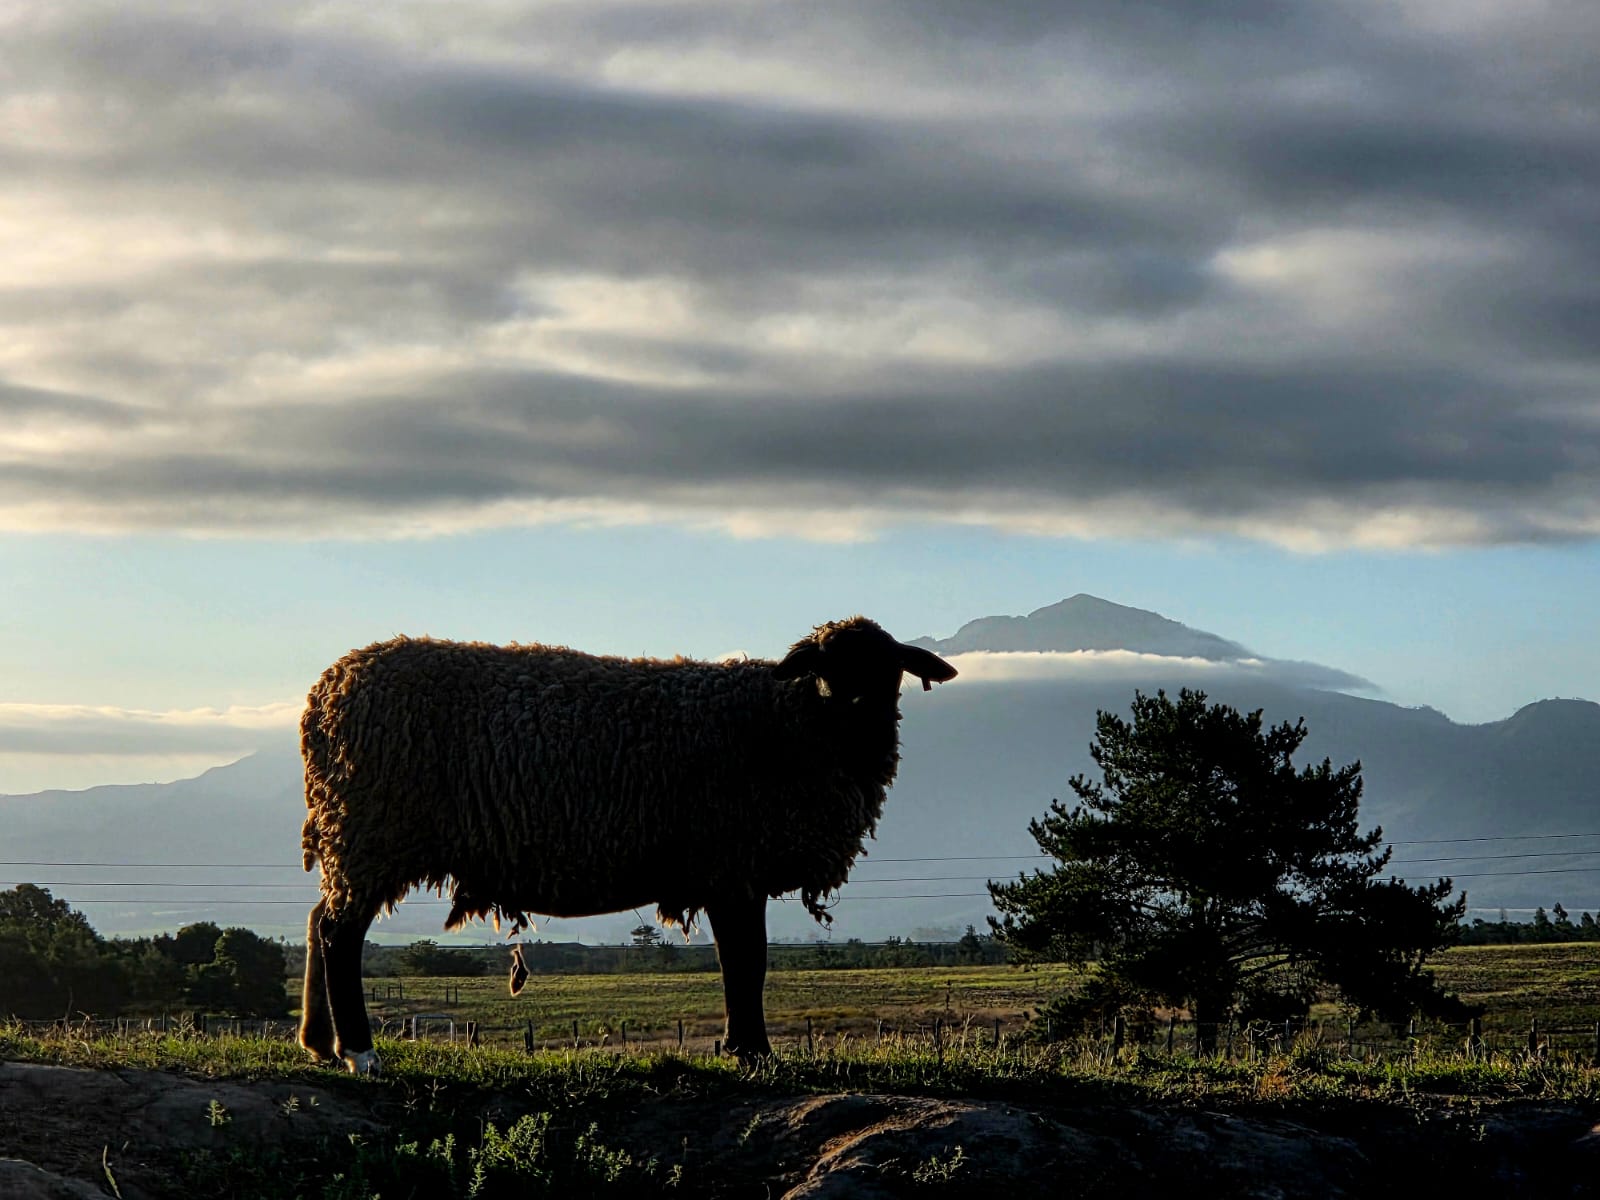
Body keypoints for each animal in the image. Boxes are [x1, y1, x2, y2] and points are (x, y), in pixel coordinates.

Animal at [296, 615, 957, 1074]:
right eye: (823, 665)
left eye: (887, 665)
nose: (852, 703)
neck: (793, 724)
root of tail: (324, 696)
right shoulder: (732, 864)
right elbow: (746, 962)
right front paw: (752, 1051)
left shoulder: (732, 869)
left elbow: (742, 962)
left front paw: (742, 1047)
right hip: (372, 829)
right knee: (339, 933)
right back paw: (359, 1052)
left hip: (353, 837)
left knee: (318, 920)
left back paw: (319, 1044)